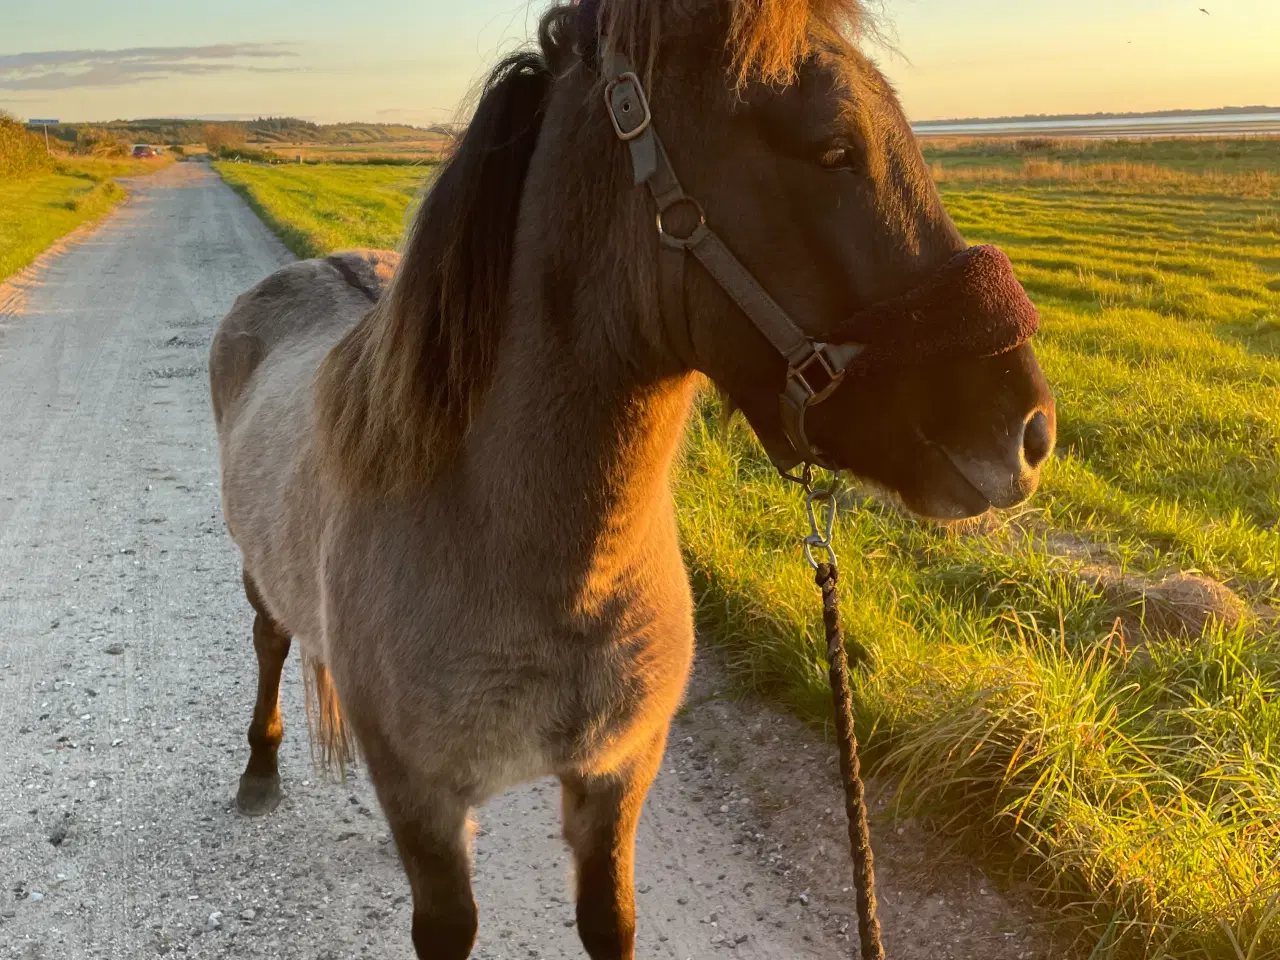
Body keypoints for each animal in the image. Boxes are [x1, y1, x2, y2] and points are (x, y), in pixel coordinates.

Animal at [207, 1, 1049, 960]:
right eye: (833, 145)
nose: (1028, 431)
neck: (539, 563)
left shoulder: (615, 781)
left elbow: (610, 918)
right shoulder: (428, 809)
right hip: (257, 578)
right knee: (270, 641)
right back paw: (259, 769)